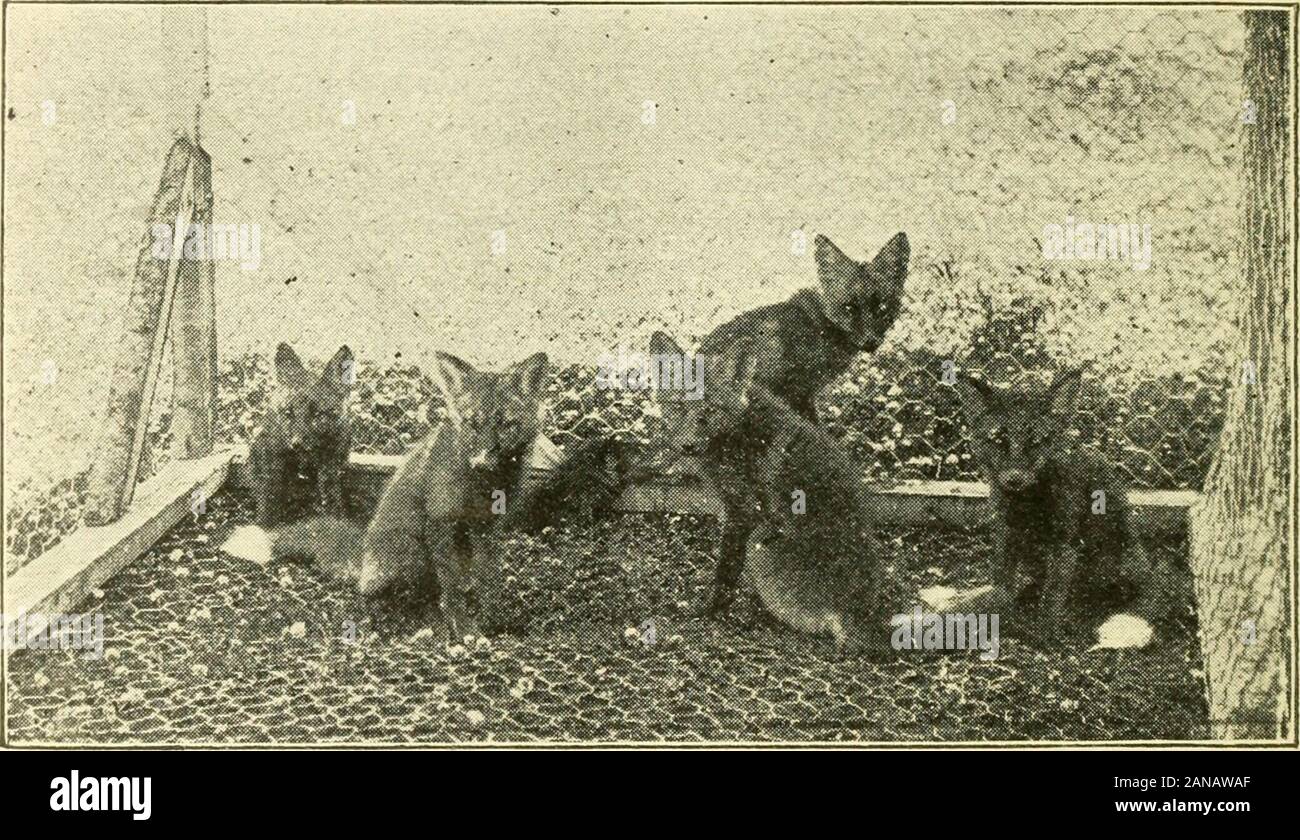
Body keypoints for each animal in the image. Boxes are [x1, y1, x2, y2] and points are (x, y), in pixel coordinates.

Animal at [244, 343, 353, 525]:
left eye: (317, 415)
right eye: (289, 413)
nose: (296, 444)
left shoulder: (331, 461)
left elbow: (330, 492)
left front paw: (335, 517)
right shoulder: (270, 457)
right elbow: (269, 494)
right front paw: (265, 523)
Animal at [647, 332, 889, 655]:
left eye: (709, 410)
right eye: (677, 407)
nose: (686, 446)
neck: (737, 433)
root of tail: (860, 610)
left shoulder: (745, 512)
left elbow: (725, 574)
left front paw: (709, 610)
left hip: (759, 541)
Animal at [935, 371, 1170, 647]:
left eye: (1036, 440)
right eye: (998, 440)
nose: (1014, 479)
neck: (1027, 504)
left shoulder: (1064, 544)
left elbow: (1052, 595)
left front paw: (1043, 634)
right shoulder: (1005, 535)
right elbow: (1000, 586)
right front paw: (997, 613)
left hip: (1119, 556)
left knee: (1152, 592)